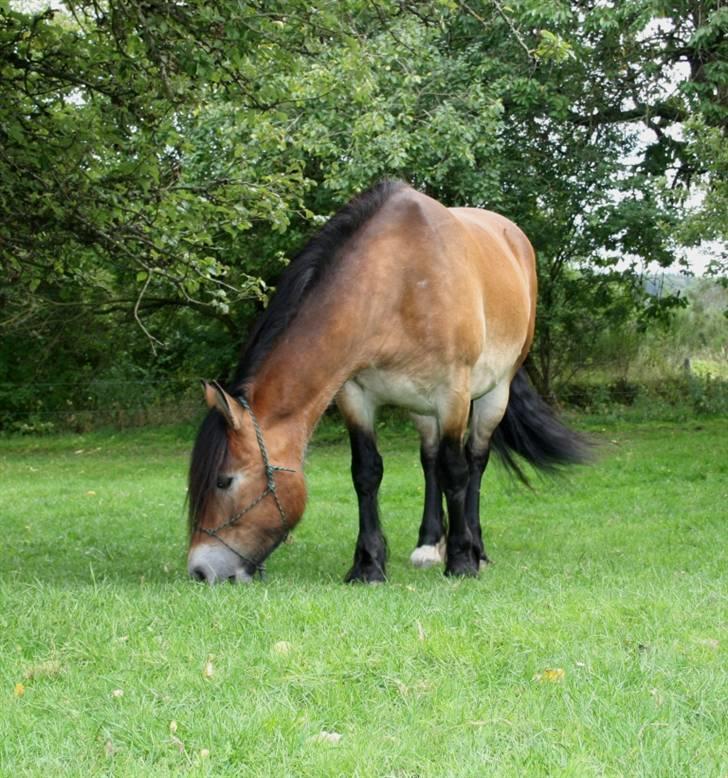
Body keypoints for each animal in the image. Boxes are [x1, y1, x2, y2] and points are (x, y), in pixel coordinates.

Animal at [188, 180, 584, 584]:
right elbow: (367, 472)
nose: (200, 571)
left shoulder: (453, 395)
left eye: (223, 481)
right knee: (429, 459)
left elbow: (456, 471)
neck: (398, 284)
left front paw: (462, 560)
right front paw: (368, 565)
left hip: (492, 393)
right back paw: (428, 545)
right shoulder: (355, 394)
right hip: (421, 407)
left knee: (474, 461)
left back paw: (476, 548)